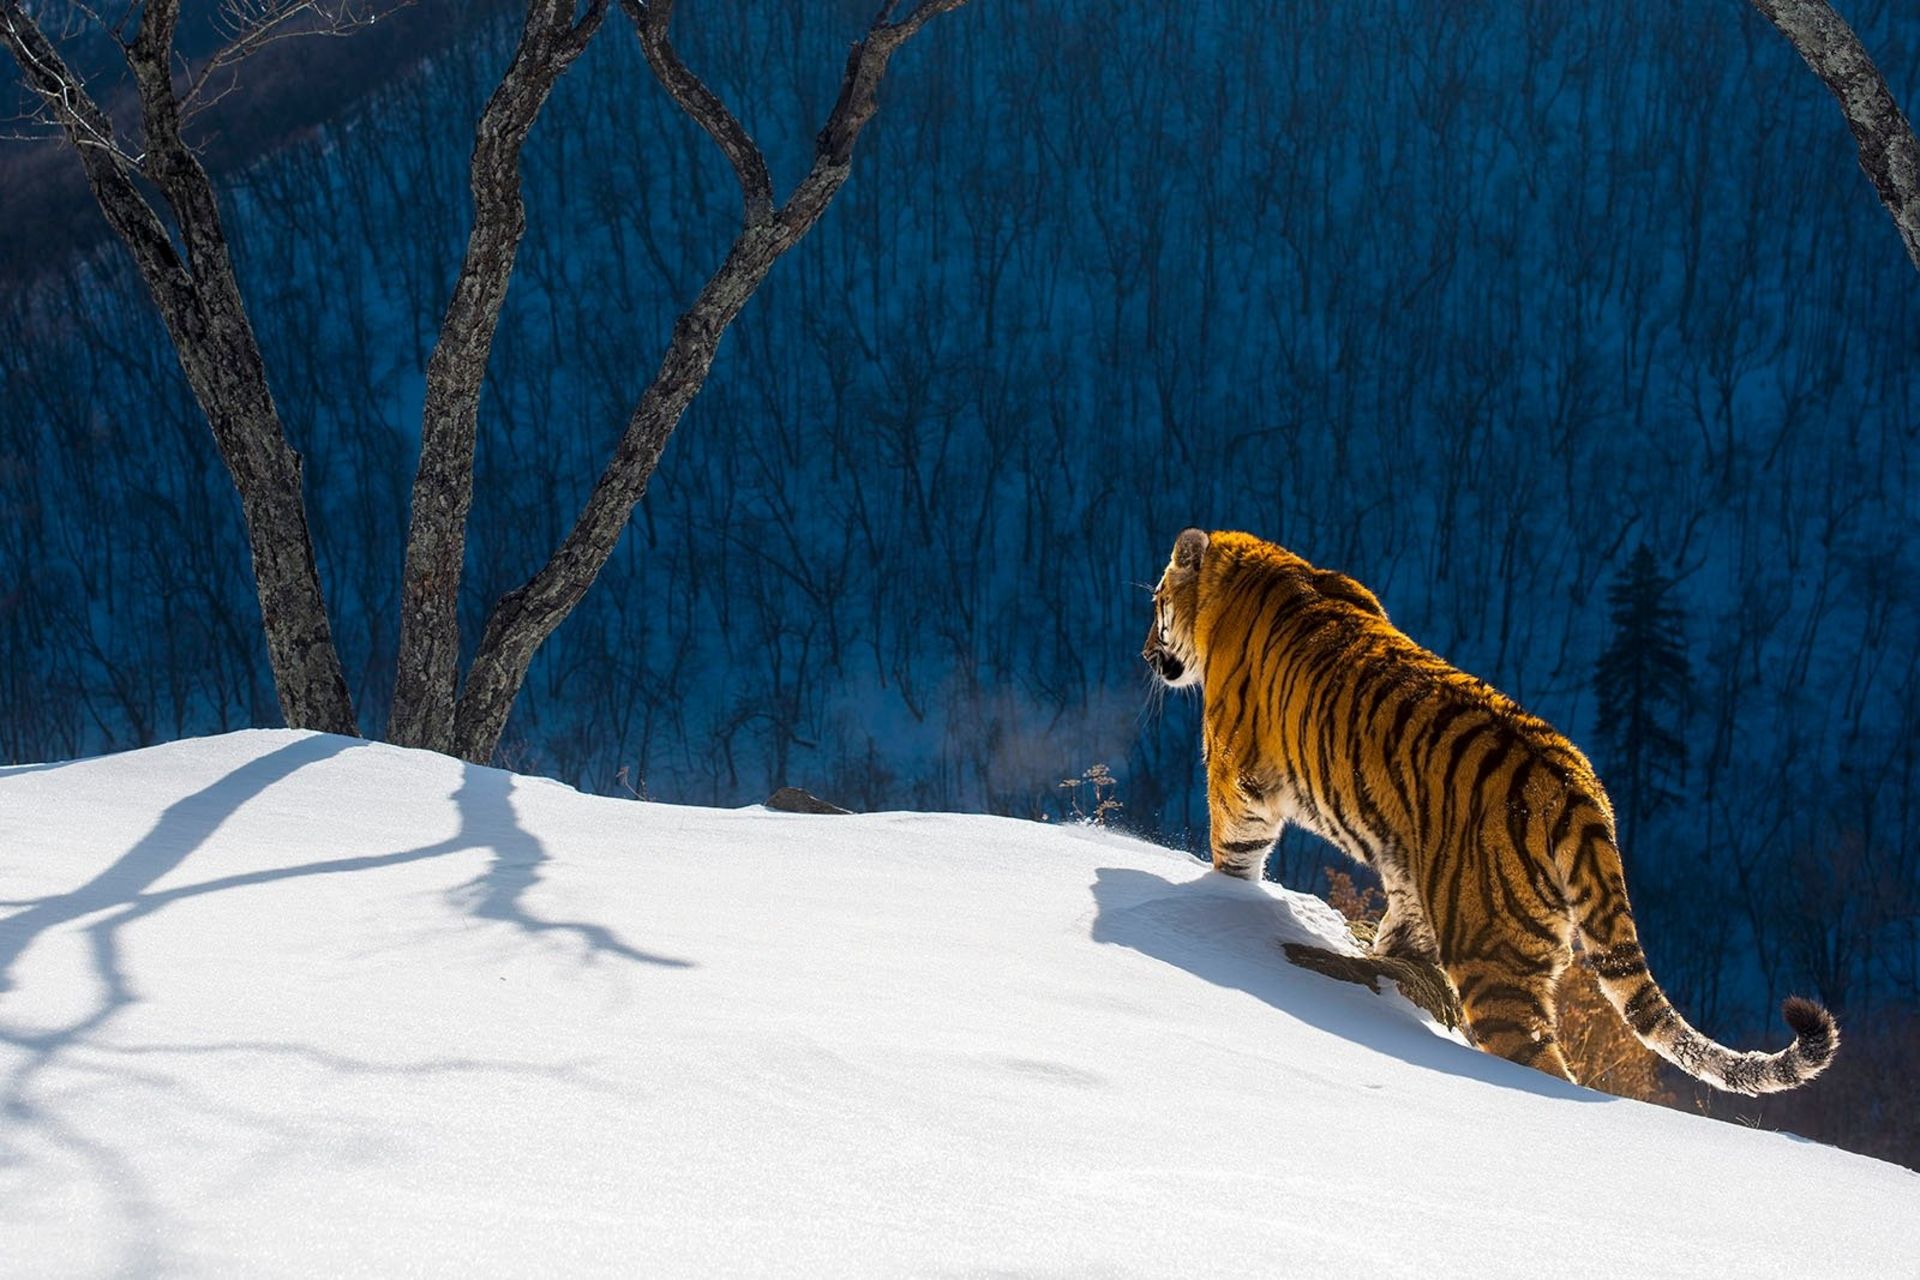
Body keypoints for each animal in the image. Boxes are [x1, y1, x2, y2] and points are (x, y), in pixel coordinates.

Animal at [1144, 525, 1835, 1097]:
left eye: (1155, 604)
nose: (1148, 652)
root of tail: (1576, 785)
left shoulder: (1239, 777)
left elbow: (1235, 854)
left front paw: (1222, 899)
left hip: (1494, 959)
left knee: (1540, 1062)